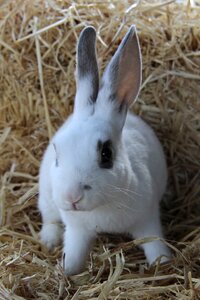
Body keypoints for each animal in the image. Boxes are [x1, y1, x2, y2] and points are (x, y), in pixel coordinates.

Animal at [38, 25, 171, 274]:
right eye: (57, 152)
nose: (72, 197)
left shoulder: (148, 220)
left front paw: (165, 265)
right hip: (46, 198)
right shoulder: (77, 231)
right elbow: (73, 257)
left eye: (106, 154)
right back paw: (49, 241)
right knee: (49, 218)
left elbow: (155, 246)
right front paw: (66, 273)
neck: (102, 207)